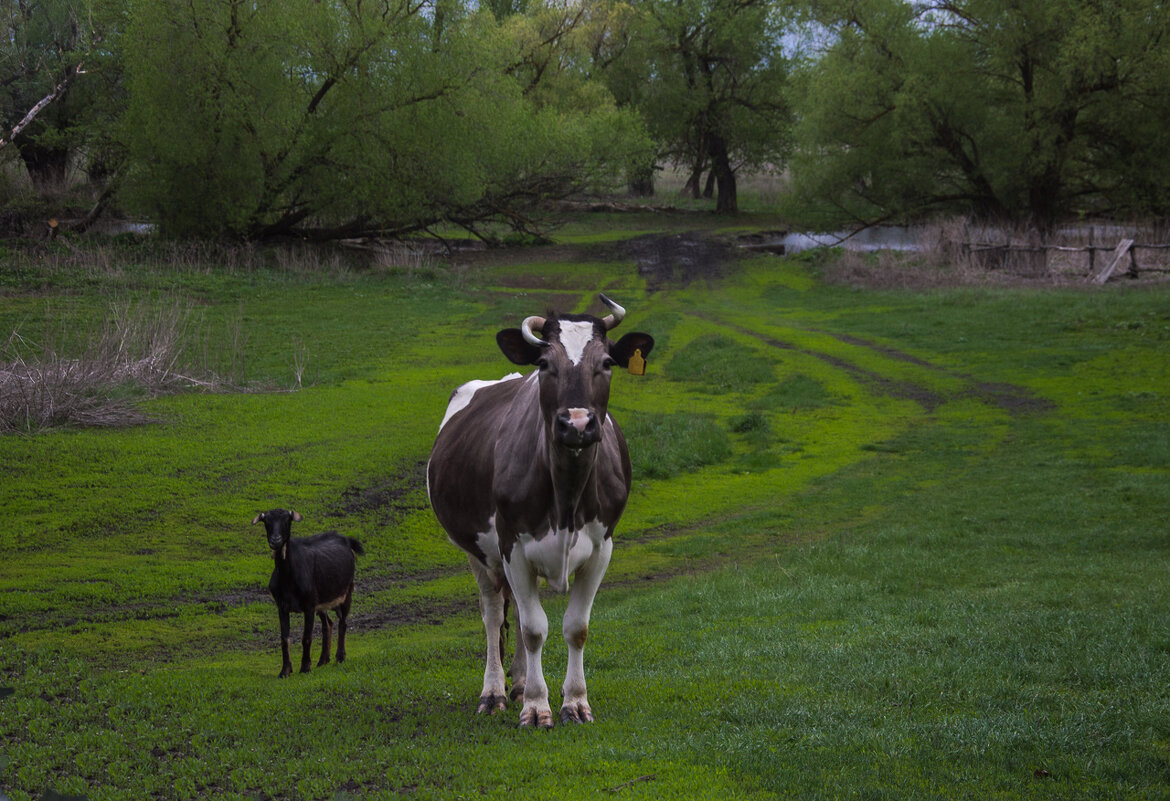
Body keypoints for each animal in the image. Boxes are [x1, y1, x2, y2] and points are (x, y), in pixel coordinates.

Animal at [253, 509, 362, 678]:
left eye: (287, 520)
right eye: (267, 522)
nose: (275, 540)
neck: (288, 579)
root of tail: (347, 540)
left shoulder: (309, 606)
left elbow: (306, 638)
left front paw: (305, 668)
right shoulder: (282, 607)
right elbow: (284, 639)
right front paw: (285, 671)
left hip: (347, 592)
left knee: (343, 622)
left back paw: (340, 658)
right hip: (322, 601)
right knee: (328, 624)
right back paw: (323, 660)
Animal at [425, 297, 655, 729]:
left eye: (607, 362)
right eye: (546, 364)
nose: (577, 423)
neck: (567, 497)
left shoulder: (602, 547)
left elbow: (576, 627)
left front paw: (575, 702)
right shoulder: (512, 544)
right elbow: (534, 629)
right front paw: (536, 706)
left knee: (513, 612)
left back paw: (516, 683)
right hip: (477, 551)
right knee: (493, 614)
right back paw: (495, 692)